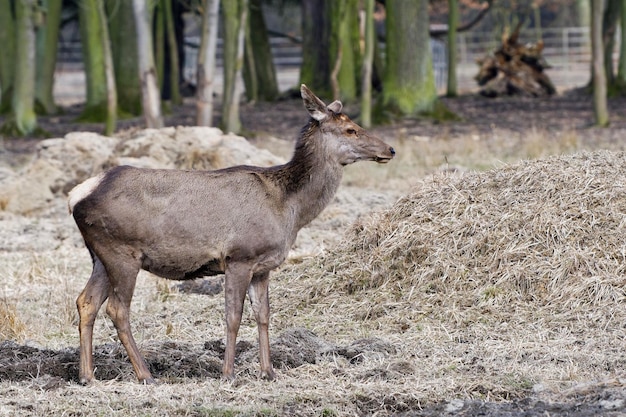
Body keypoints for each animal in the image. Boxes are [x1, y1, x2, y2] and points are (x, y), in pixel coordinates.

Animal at [67, 84, 390, 384]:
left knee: (86, 301)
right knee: (117, 309)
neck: (290, 208)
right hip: (121, 251)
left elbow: (263, 315)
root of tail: (75, 196)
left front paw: (268, 371)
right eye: (350, 129)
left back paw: (87, 375)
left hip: (100, 255)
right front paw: (228, 373)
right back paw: (145, 374)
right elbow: (233, 317)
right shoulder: (240, 256)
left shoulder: (263, 267)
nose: (390, 150)